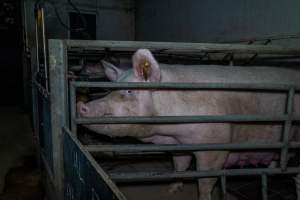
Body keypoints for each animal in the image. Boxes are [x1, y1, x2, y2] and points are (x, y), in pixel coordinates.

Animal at [77, 48, 300, 200]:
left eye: (130, 91)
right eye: (110, 89)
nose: (82, 106)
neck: (168, 133)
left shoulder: (215, 145)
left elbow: (205, 180)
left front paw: (203, 197)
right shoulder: (179, 144)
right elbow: (180, 166)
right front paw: (170, 190)